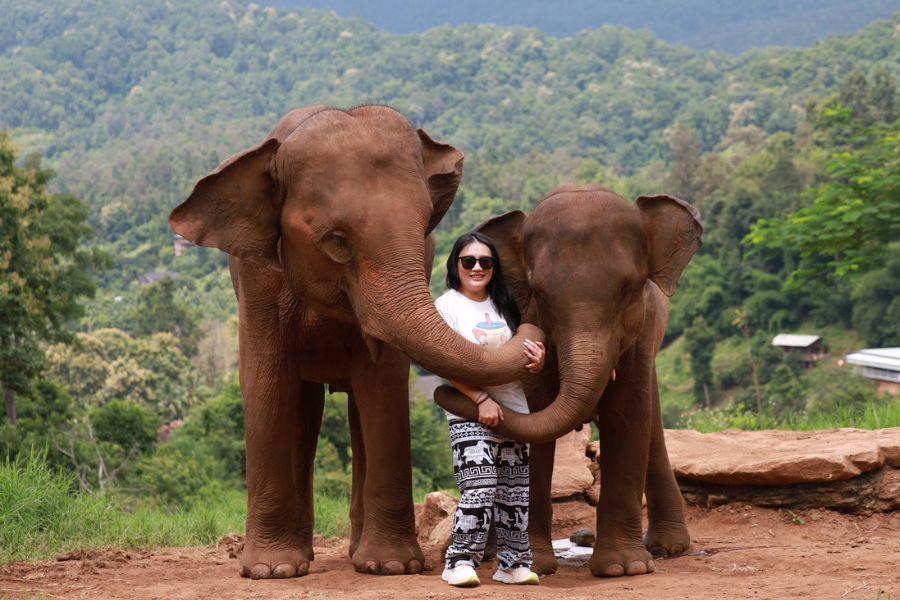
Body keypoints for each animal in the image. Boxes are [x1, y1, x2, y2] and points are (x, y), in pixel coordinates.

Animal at [167, 105, 540, 580]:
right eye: (337, 241)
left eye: (425, 227)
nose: (531, 341)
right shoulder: (256, 280)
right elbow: (266, 384)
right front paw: (270, 571)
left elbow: (382, 383)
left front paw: (393, 566)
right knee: (303, 409)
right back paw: (300, 558)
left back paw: (361, 555)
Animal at [436, 186, 704, 576]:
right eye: (540, 294)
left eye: (629, 289)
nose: (442, 391)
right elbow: (535, 415)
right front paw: (537, 565)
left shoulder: (640, 336)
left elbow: (628, 417)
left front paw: (623, 568)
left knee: (651, 424)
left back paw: (668, 547)